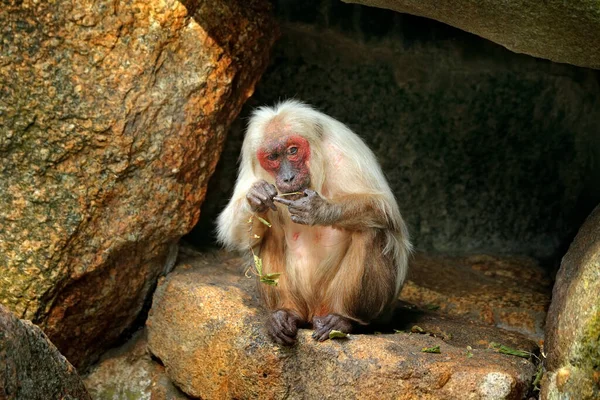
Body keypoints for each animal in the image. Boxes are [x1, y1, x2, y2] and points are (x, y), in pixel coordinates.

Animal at [217, 99, 412, 344]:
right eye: (273, 157)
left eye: (292, 151)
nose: (288, 177)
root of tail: (313, 313)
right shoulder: (254, 169)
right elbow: (236, 234)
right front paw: (256, 197)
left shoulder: (343, 153)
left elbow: (384, 210)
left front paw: (319, 210)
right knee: (270, 233)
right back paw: (285, 313)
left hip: (347, 303)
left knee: (371, 229)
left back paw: (341, 319)